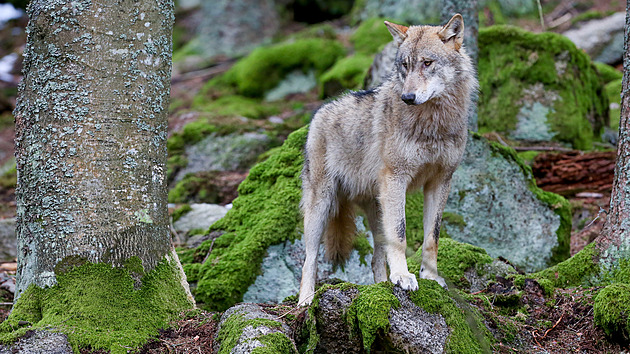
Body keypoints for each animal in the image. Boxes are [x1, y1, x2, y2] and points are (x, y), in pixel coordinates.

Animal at [298, 15, 476, 306]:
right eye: (405, 65)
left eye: (427, 63)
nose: (408, 97)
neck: (433, 124)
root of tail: (319, 111)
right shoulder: (397, 178)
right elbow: (401, 234)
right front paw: (403, 276)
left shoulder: (440, 182)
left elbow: (432, 237)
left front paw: (430, 277)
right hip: (321, 207)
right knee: (309, 259)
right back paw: (305, 301)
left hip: (377, 208)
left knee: (375, 258)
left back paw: (381, 286)